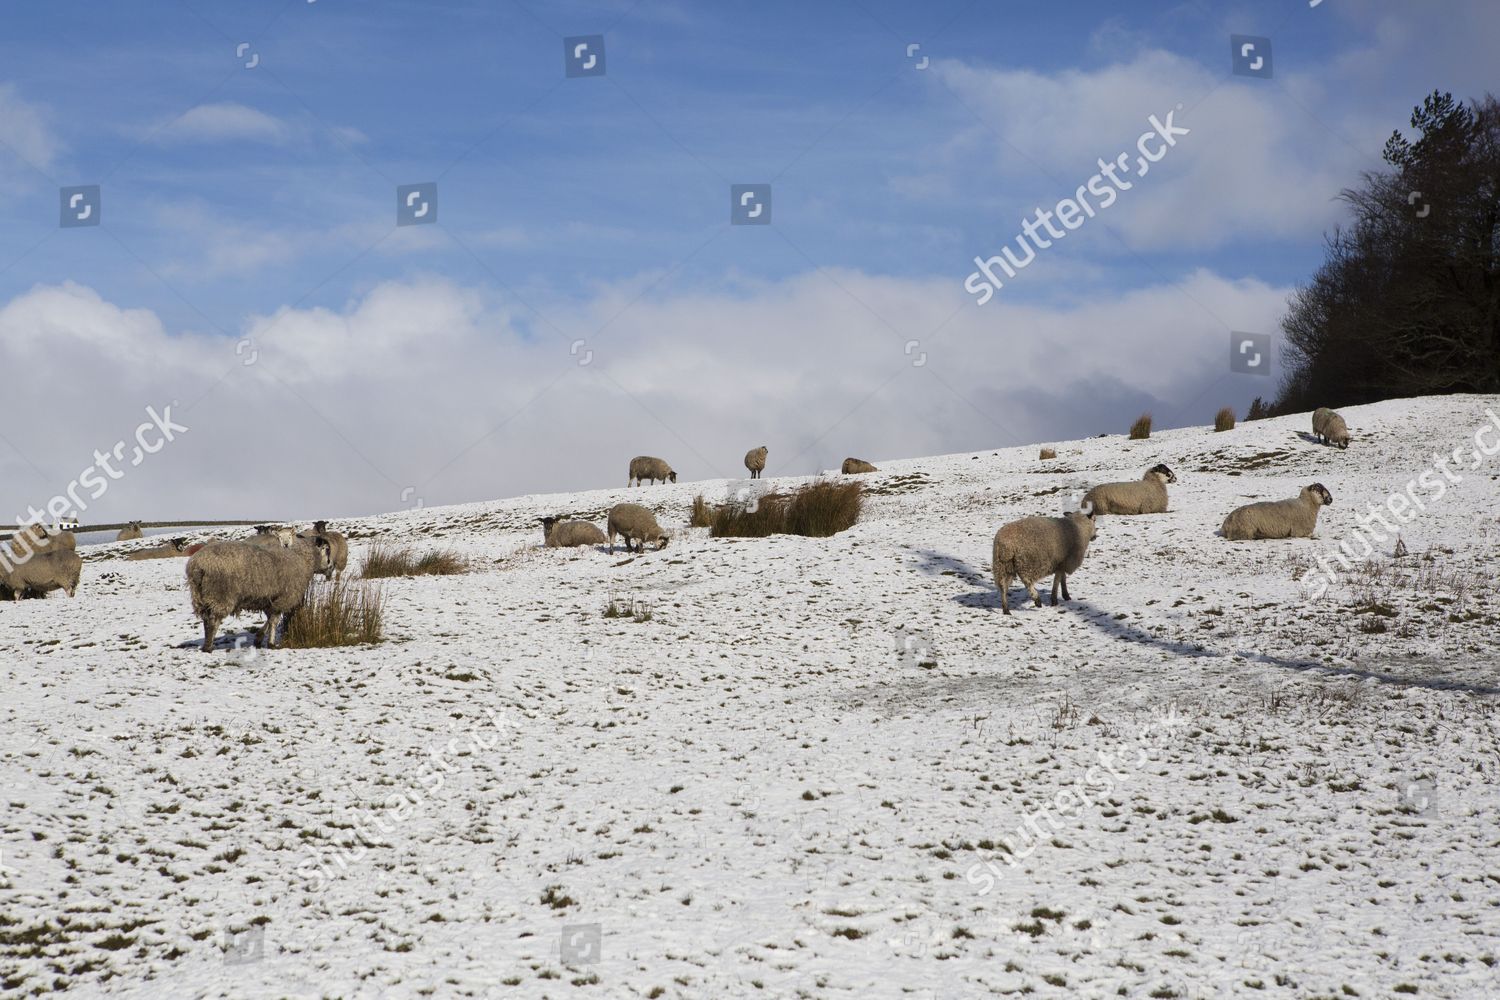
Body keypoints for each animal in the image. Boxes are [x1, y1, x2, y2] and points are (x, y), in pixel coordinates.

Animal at [185, 536, 331, 653]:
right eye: (326, 549)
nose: (330, 568)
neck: (302, 558)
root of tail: (198, 565)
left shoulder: (269, 599)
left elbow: (269, 620)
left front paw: (259, 638)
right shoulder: (284, 598)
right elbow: (274, 621)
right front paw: (271, 643)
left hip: (200, 595)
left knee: (205, 620)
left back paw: (206, 643)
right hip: (220, 594)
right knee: (213, 620)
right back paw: (208, 647)